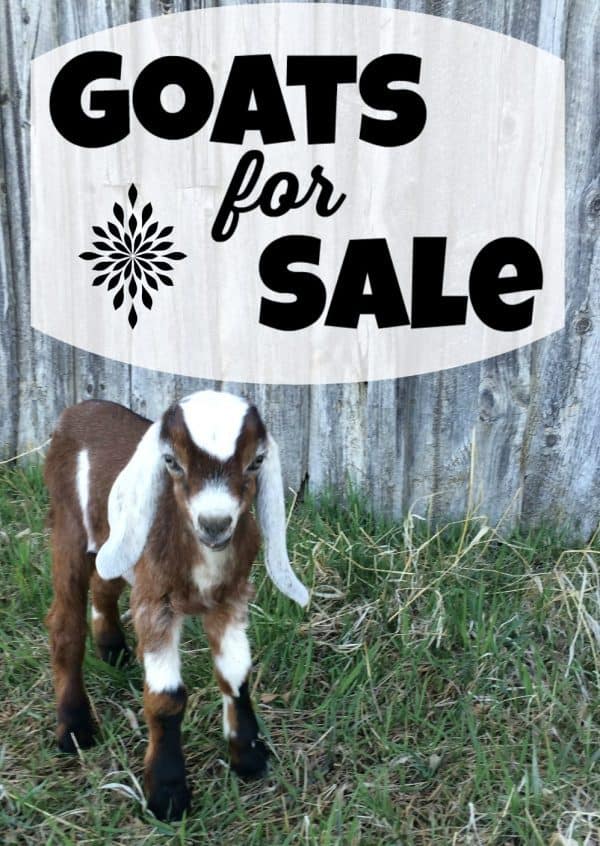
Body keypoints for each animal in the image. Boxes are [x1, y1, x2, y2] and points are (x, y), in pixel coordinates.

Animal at [44, 394, 308, 824]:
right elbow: (166, 697)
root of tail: (79, 408)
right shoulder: (157, 604)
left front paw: (249, 758)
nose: (215, 523)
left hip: (116, 541)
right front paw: (167, 795)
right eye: (171, 461)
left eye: (256, 461)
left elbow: (236, 675)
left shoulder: (229, 598)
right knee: (65, 624)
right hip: (68, 526)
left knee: (104, 581)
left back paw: (113, 649)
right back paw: (74, 729)